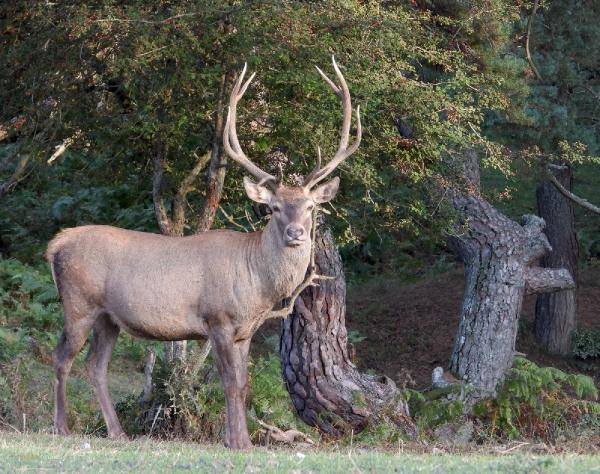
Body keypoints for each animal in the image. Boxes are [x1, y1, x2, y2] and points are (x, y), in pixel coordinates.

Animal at [47, 57, 360, 450]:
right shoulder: (218, 318)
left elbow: (244, 385)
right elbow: (229, 383)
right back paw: (61, 426)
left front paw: (244, 441)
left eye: (310, 207)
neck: (257, 285)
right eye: (273, 208)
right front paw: (236, 441)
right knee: (62, 357)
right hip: (79, 302)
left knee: (95, 365)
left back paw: (117, 432)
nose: (295, 233)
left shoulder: (245, 331)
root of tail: (56, 244)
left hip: (108, 317)